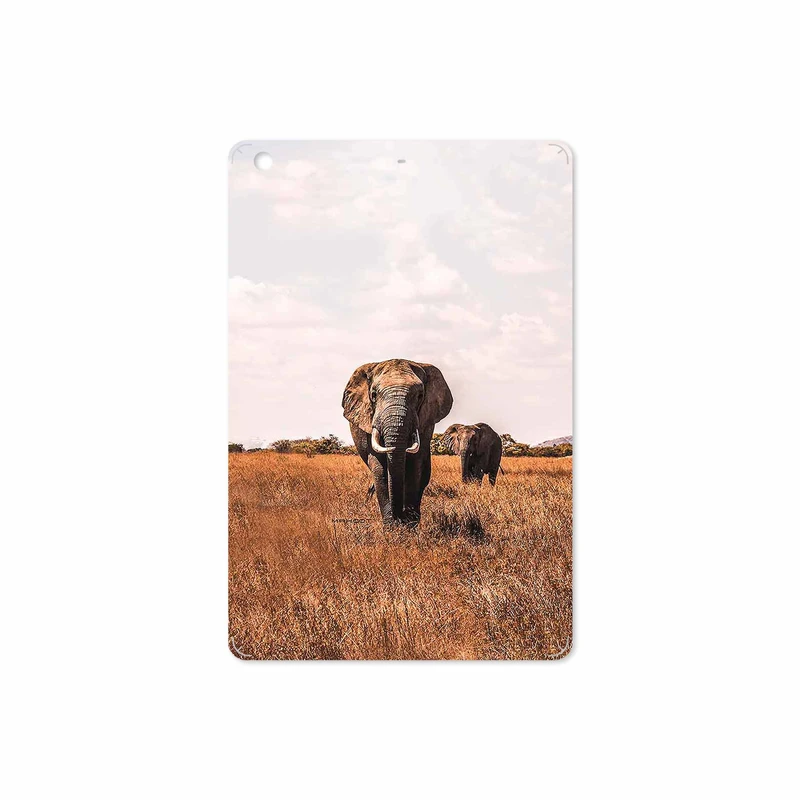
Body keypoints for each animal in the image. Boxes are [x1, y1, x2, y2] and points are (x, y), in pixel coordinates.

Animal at [342, 358, 453, 526]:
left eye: (420, 395)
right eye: (373, 395)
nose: (399, 517)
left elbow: (415, 465)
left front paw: (409, 525)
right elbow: (380, 468)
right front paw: (391, 526)